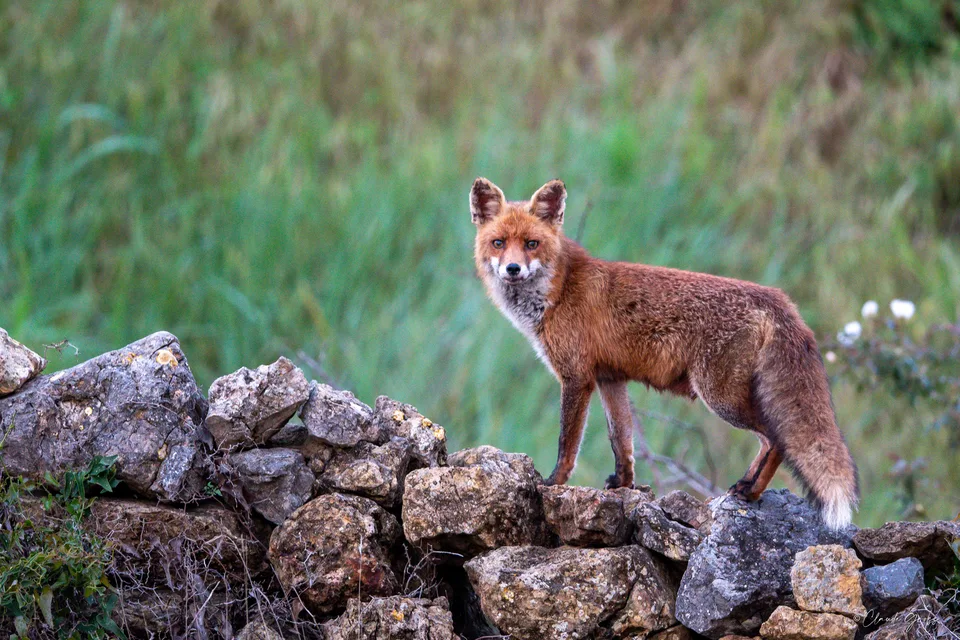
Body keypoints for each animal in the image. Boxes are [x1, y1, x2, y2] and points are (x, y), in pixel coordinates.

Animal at [470, 177, 859, 529]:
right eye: (499, 243)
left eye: (532, 244)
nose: (513, 269)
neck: (559, 290)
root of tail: (777, 298)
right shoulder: (609, 379)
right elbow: (621, 441)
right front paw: (624, 486)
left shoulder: (576, 378)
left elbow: (568, 443)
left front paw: (553, 484)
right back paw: (746, 488)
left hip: (720, 397)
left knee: (776, 438)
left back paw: (751, 492)